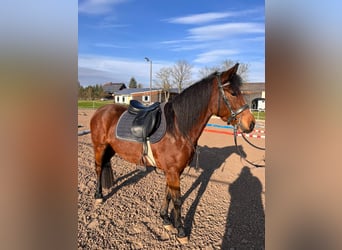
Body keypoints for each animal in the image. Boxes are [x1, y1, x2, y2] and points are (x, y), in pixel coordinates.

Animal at [89, 63, 255, 243]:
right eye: (233, 93)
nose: (251, 123)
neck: (177, 129)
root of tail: (101, 110)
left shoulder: (174, 171)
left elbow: (168, 194)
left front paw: (166, 219)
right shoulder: (173, 171)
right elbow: (177, 200)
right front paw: (181, 231)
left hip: (110, 149)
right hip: (99, 147)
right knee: (98, 168)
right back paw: (98, 196)